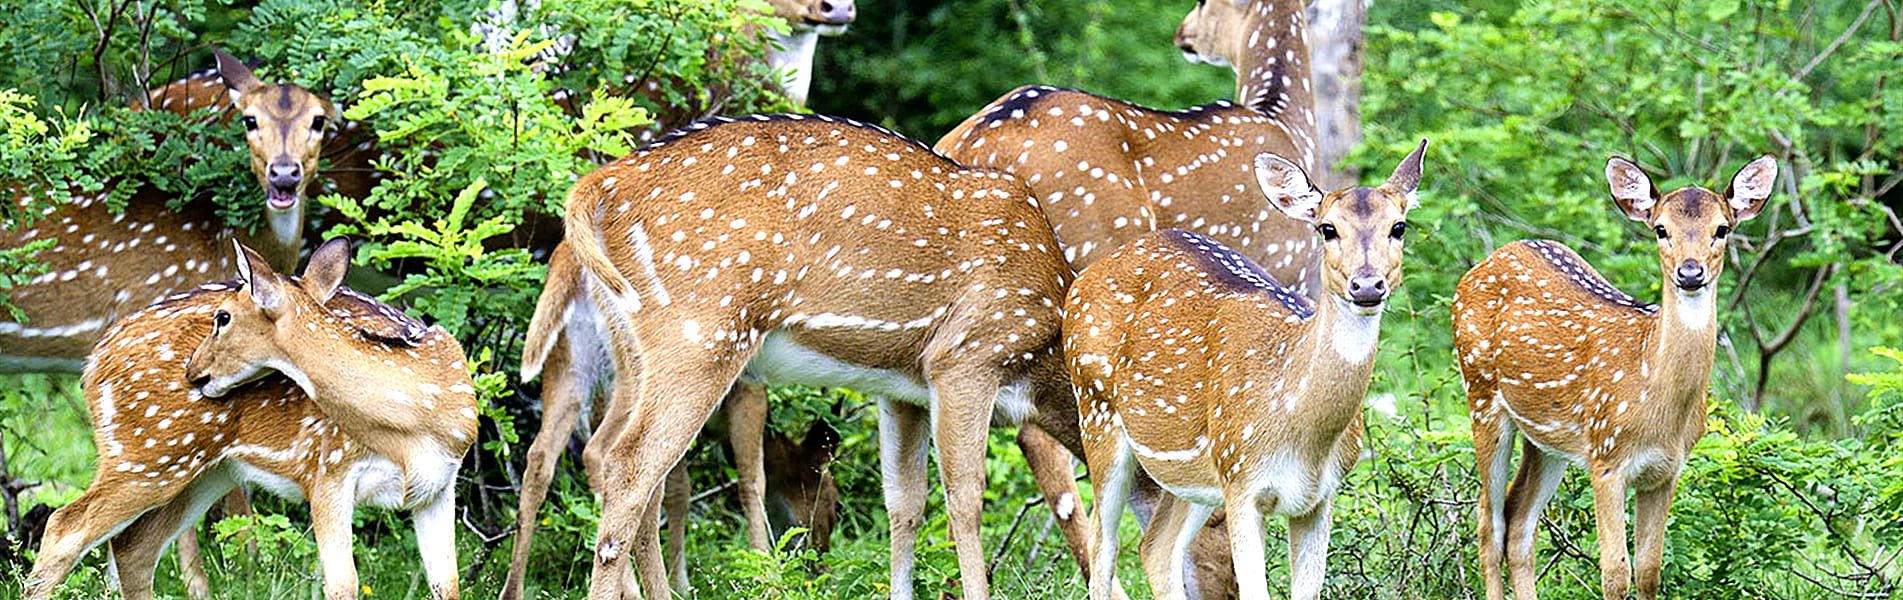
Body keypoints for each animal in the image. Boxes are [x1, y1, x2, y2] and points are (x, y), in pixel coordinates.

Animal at [23, 240, 479, 600]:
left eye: (223, 317)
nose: (194, 371)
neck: (415, 430)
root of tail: (95, 359)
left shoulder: (438, 486)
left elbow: (448, 584)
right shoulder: (327, 471)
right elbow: (343, 585)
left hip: (205, 471)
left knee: (134, 546)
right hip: (146, 454)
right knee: (64, 527)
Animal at [555, 113, 1088, 600]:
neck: (1045, 357)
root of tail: (597, 187)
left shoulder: (904, 388)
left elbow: (905, 501)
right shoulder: (966, 357)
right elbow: (965, 498)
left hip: (632, 349)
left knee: (617, 456)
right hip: (699, 330)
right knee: (632, 463)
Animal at [1073, 143, 1431, 600]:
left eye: (1398, 227)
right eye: (1327, 229)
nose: (1366, 285)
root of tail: (1083, 278)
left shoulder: (1321, 496)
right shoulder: (1241, 480)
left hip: (1192, 473)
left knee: (1155, 545)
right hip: (1096, 411)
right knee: (1102, 546)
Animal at [1453, 157, 1781, 600]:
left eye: (1722, 228)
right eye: (1661, 228)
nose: (1690, 272)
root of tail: (1491, 258)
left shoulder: (1666, 470)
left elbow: (1649, 569)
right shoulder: (1606, 457)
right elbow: (1614, 572)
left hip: (1547, 439)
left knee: (1519, 521)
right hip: (1481, 395)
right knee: (1489, 522)